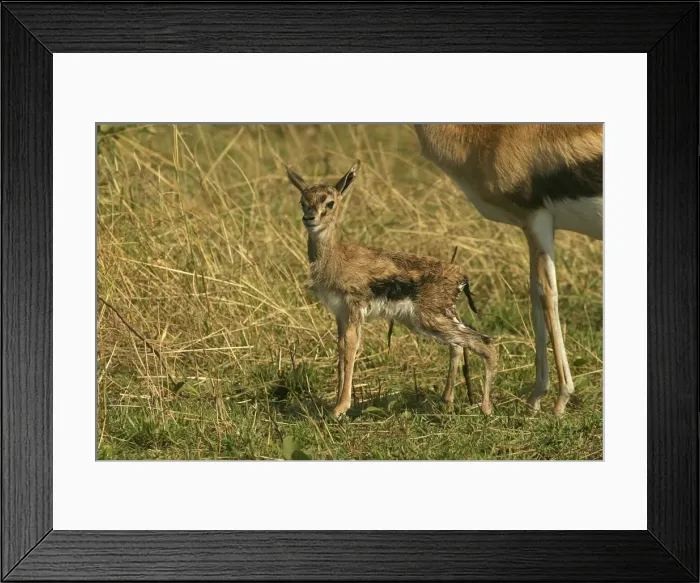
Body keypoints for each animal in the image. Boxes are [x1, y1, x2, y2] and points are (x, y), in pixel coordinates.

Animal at [285, 160, 498, 420]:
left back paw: (486, 409)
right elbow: (341, 350)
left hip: (430, 319)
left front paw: (340, 408)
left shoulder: (355, 307)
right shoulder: (340, 313)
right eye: (303, 201)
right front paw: (336, 403)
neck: (334, 258)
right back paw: (447, 402)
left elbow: (352, 348)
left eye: (330, 202)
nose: (309, 217)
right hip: (437, 318)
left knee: (485, 343)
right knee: (458, 345)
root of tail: (461, 276)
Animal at [413, 124, 603, 416]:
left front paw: (561, 400)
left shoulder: (537, 219)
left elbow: (547, 295)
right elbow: (535, 298)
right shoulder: (531, 226)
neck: (489, 137)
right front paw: (535, 398)